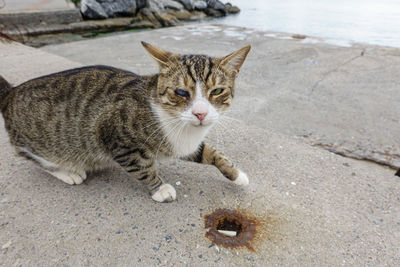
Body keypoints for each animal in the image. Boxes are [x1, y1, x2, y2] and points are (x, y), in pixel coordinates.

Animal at [0, 42, 250, 202]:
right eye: (180, 92)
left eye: (216, 91)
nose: (200, 113)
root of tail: (11, 93)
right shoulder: (120, 143)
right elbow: (143, 168)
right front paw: (159, 188)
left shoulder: (182, 143)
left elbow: (211, 153)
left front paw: (237, 174)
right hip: (37, 144)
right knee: (34, 158)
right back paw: (68, 172)